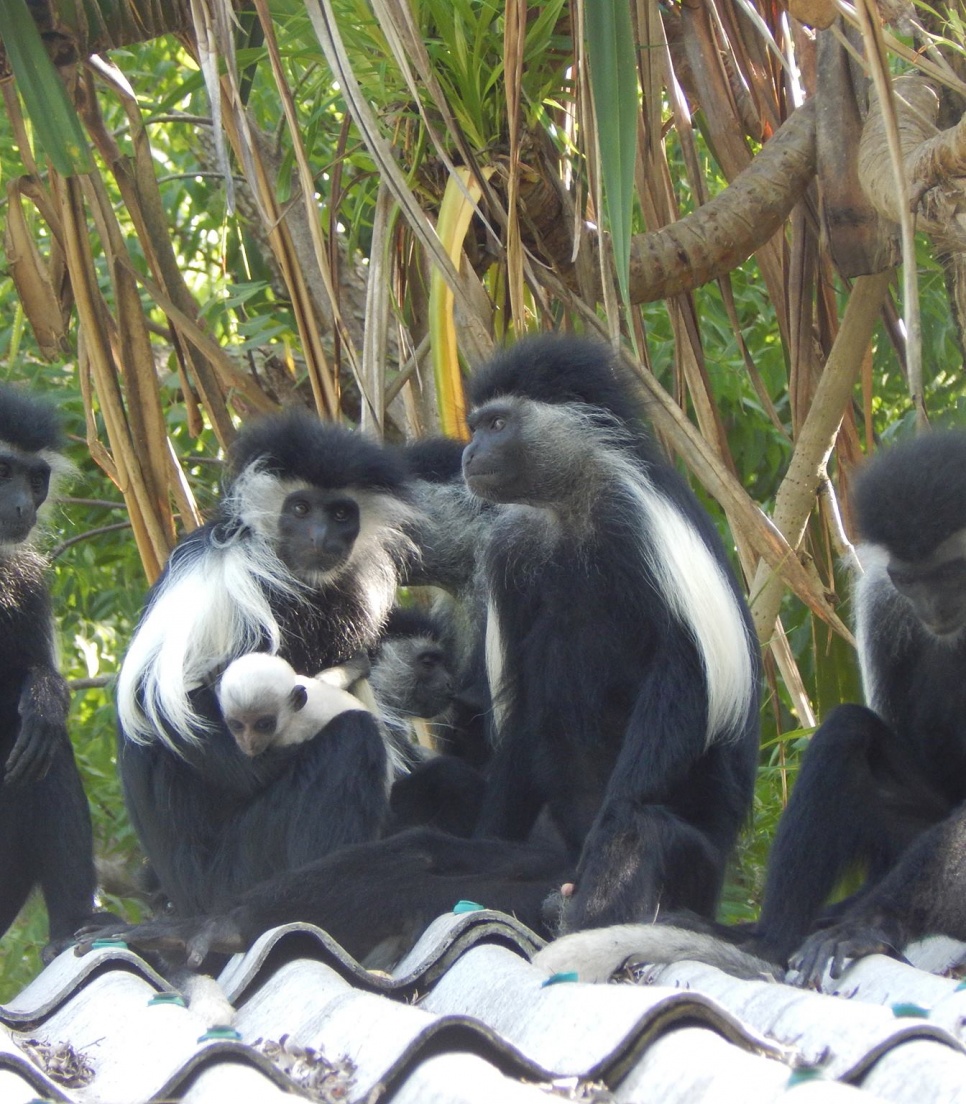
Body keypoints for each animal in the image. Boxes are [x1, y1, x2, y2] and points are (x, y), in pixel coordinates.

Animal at [115, 410, 417, 918]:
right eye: (300, 509)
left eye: (341, 514)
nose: (321, 537)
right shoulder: (230, 580)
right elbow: (185, 715)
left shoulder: (353, 604)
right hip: (238, 865)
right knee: (351, 741)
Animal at [463, 333, 763, 922]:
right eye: (477, 425)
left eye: (497, 424)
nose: (467, 452)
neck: (567, 504)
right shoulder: (510, 550)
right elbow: (522, 706)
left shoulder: (636, 519)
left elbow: (682, 674)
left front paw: (612, 829)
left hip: (699, 848)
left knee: (646, 831)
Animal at [759, 428, 966, 984]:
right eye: (909, 581)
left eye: (953, 570)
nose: (936, 610)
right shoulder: (882, 596)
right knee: (848, 732)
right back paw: (768, 940)